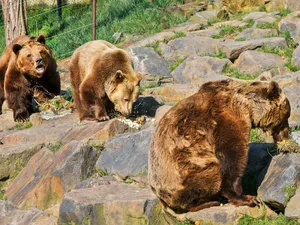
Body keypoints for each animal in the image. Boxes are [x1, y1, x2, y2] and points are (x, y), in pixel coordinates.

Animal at [149, 78, 290, 213]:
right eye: (286, 118)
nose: (286, 133)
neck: (247, 105)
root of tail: (163, 199)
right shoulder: (225, 118)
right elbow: (232, 155)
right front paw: (248, 198)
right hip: (187, 173)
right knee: (210, 175)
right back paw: (211, 201)